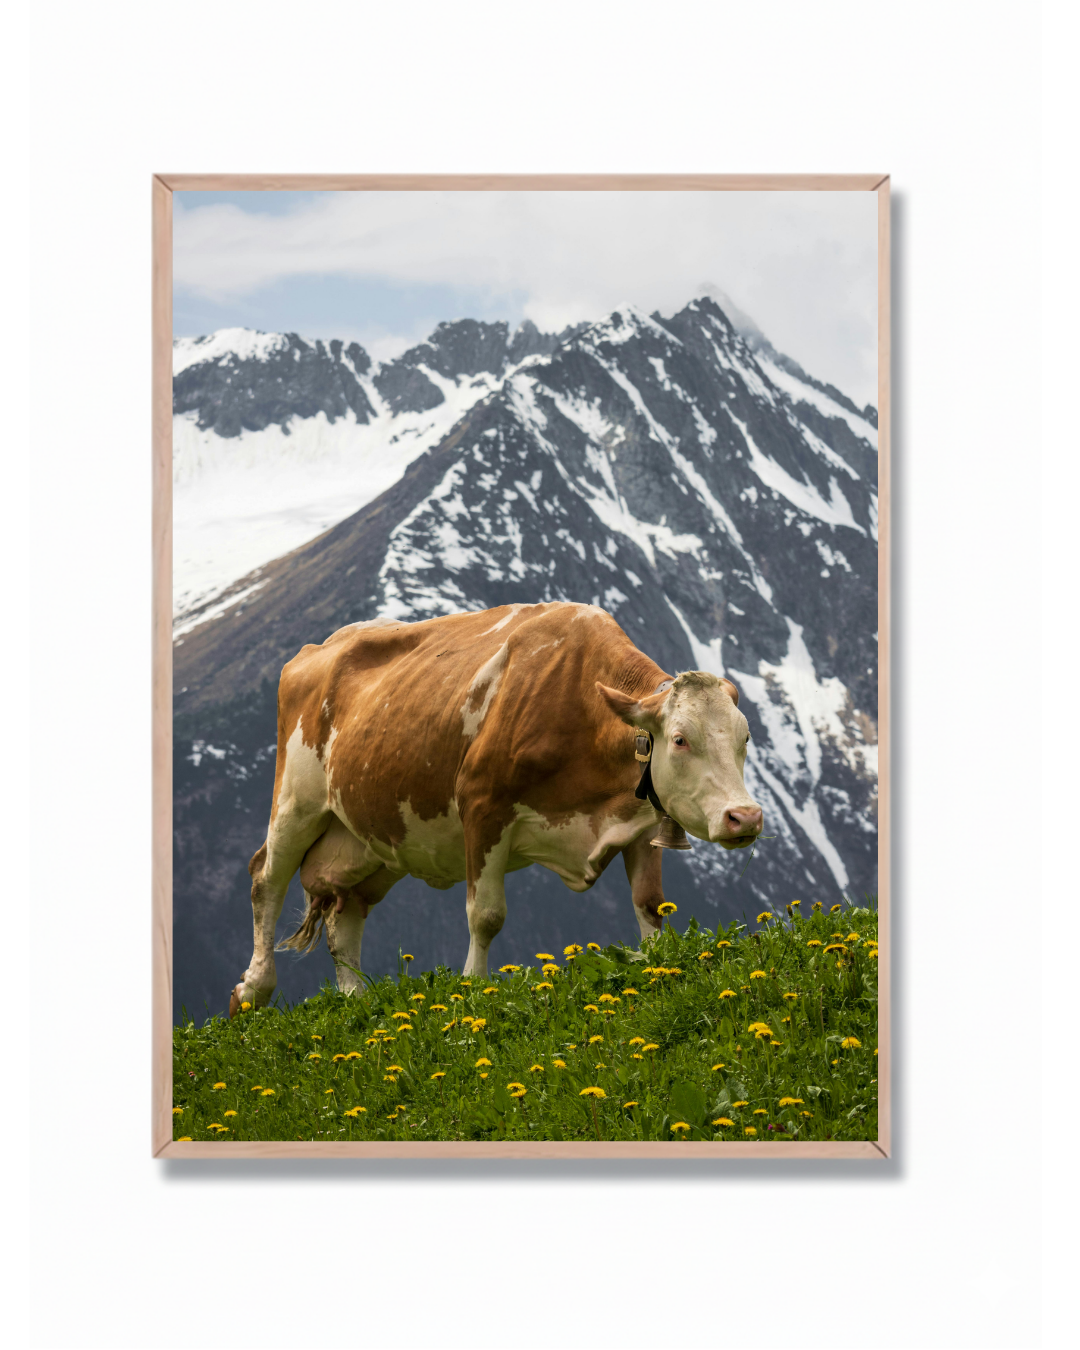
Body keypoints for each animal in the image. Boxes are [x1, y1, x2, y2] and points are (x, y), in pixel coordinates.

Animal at [230, 602, 763, 1015]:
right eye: (680, 739)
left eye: (745, 738)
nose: (746, 817)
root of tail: (316, 649)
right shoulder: (483, 806)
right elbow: (485, 914)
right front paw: (473, 987)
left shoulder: (638, 819)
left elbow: (649, 903)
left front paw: (658, 966)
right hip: (296, 803)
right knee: (266, 879)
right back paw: (253, 991)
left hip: (372, 841)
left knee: (345, 915)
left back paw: (355, 1000)